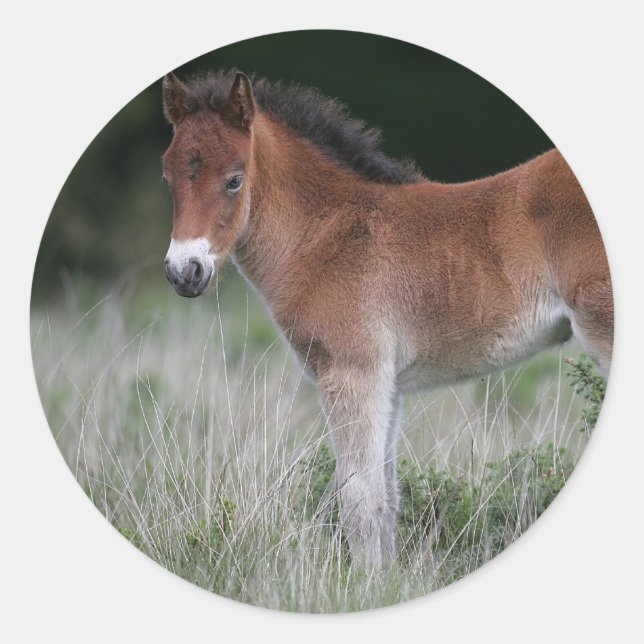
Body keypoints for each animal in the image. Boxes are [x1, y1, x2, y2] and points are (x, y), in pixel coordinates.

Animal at [161, 70, 613, 569]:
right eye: (167, 175)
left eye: (234, 180)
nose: (183, 271)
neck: (326, 234)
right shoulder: (387, 384)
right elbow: (386, 497)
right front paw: (384, 579)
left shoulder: (353, 373)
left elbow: (358, 498)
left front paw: (361, 583)